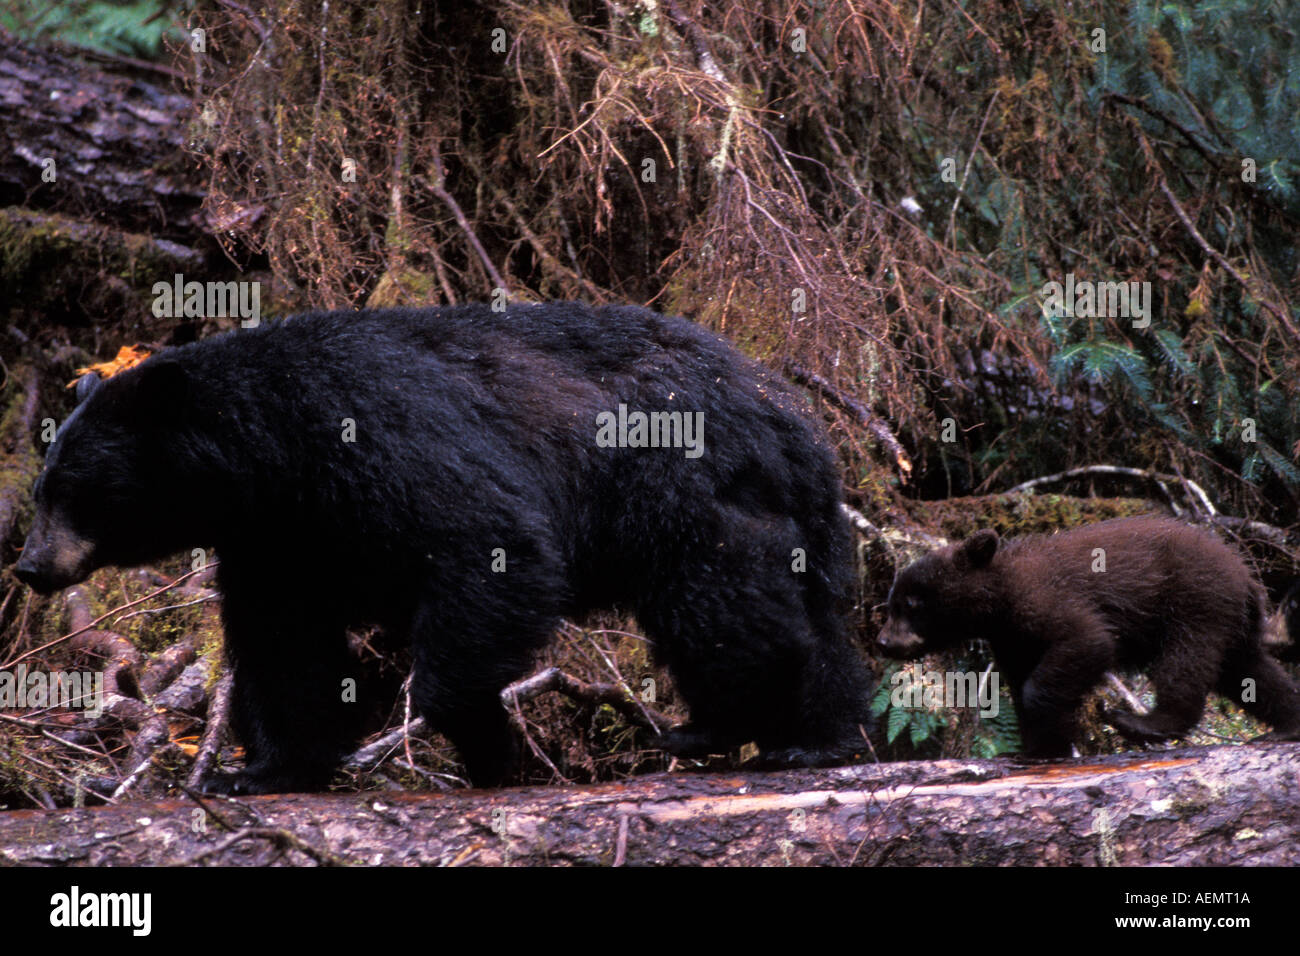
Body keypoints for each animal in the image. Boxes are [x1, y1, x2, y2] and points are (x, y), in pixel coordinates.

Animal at [15, 304, 868, 790]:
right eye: (44, 486)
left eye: (74, 490)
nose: (29, 565)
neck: (272, 453)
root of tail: (793, 417)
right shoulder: (280, 535)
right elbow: (285, 642)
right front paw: (266, 768)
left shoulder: (384, 437)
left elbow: (490, 545)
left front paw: (487, 747)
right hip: (793, 521)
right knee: (816, 622)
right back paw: (816, 740)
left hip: (683, 483)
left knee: (722, 604)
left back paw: (718, 725)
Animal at [873, 515, 1300, 754]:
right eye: (891, 603)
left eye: (911, 603)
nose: (884, 642)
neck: (1001, 596)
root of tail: (1246, 575)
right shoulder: (1012, 638)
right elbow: (1019, 678)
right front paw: (1040, 747)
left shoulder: (1048, 602)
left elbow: (1087, 643)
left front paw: (1054, 736)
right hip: (1229, 622)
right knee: (1250, 672)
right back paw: (1286, 726)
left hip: (1196, 602)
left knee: (1186, 663)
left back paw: (1141, 722)